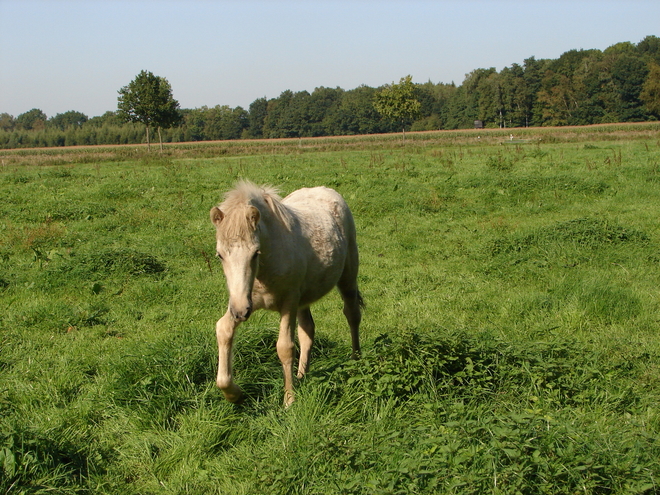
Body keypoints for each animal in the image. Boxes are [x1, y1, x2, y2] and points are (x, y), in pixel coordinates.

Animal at [210, 182, 360, 406]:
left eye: (255, 253)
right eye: (220, 255)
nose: (240, 312)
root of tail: (325, 189)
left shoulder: (288, 302)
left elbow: (285, 348)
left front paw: (289, 400)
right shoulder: (247, 299)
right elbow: (224, 329)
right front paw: (233, 394)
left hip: (347, 276)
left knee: (352, 314)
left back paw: (356, 360)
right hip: (302, 298)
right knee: (307, 330)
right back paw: (302, 376)